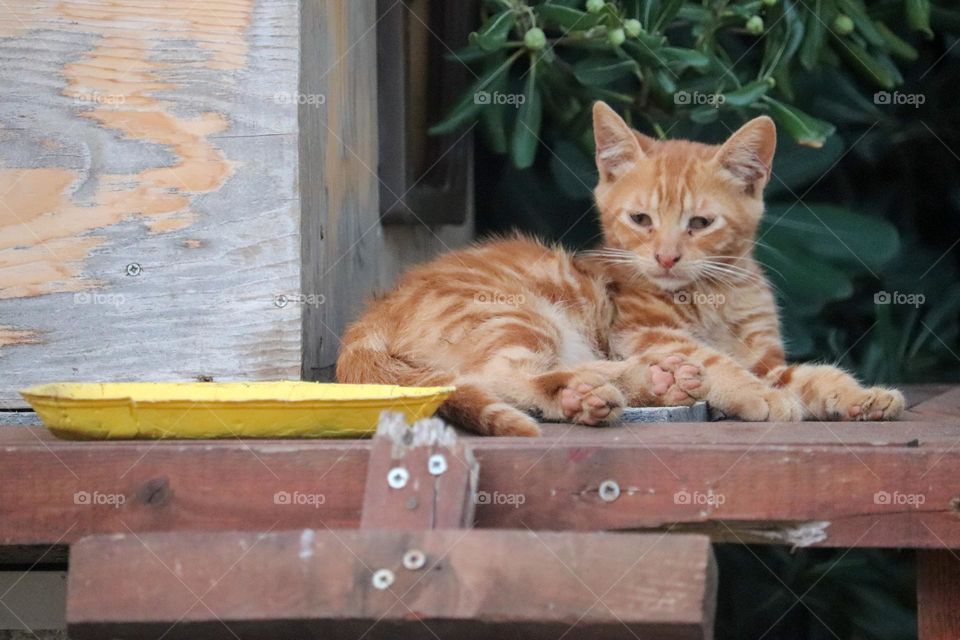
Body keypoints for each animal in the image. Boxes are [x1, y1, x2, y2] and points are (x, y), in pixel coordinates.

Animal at [336, 101, 900, 436]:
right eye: (641, 220)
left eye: (700, 223)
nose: (666, 256)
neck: (712, 294)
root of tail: (371, 315)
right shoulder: (644, 331)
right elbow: (718, 362)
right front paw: (757, 395)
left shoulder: (766, 357)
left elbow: (811, 374)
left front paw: (861, 397)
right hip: (515, 314)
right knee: (492, 374)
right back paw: (603, 388)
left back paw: (647, 384)